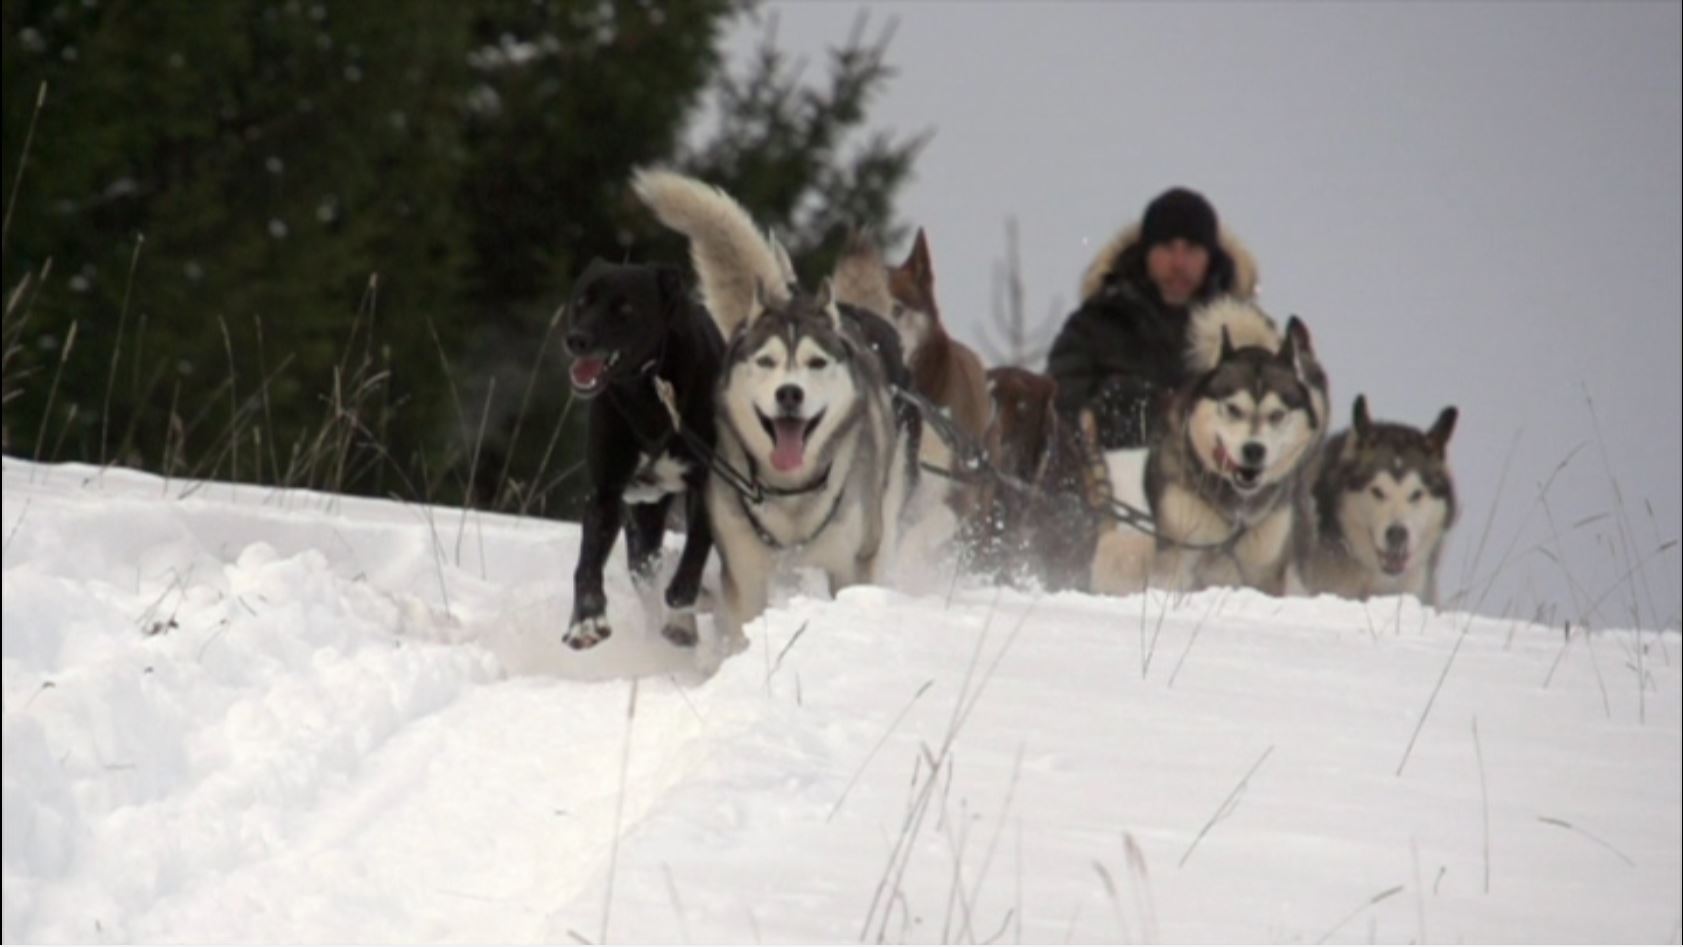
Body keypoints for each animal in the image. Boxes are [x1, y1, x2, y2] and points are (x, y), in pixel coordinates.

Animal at [565, 260, 723, 652]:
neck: (647, 389)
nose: (577, 339)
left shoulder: (708, 484)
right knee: (645, 573)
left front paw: (682, 606)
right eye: (582, 301)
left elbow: (695, 551)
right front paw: (586, 621)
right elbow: (587, 562)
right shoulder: (605, 491)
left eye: (625, 309)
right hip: (644, 520)